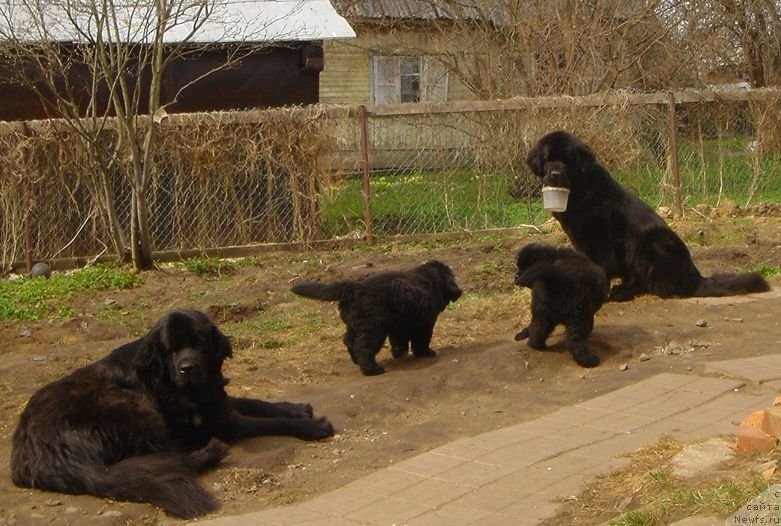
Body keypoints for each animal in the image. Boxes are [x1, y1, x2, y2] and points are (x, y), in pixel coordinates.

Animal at [9, 310, 332, 520]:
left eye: (198, 343)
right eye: (171, 349)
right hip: (135, 408)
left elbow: (256, 402)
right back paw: (206, 453)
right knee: (164, 457)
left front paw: (297, 408)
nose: (187, 368)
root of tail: (40, 452)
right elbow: (268, 421)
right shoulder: (223, 423)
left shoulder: (217, 403)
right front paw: (312, 426)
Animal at [292, 260, 464, 376]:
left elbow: (399, 342)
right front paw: (426, 353)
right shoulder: (424, 323)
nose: (459, 292)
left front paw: (399, 354)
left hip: (356, 325)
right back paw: (372, 370)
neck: (430, 280)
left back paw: (357, 361)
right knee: (363, 347)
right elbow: (421, 340)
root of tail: (354, 287)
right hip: (374, 328)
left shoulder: (399, 325)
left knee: (349, 340)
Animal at [524, 130, 768, 304]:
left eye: (567, 160)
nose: (555, 174)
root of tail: (694, 278)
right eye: (548, 159)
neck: (576, 190)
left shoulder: (598, 239)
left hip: (652, 242)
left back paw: (622, 292)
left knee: (649, 282)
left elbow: (601, 265)